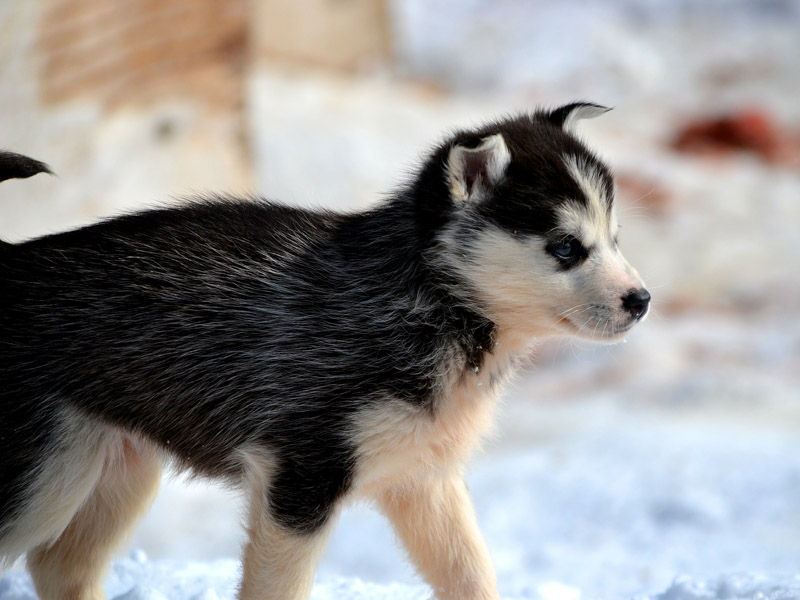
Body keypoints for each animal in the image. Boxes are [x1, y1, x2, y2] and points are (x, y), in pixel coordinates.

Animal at [0, 104, 648, 600]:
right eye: (565, 247)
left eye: (615, 238)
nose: (642, 300)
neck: (430, 301)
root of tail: (11, 258)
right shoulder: (301, 476)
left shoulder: (425, 479)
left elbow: (472, 574)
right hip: (46, 476)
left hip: (114, 469)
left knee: (60, 566)